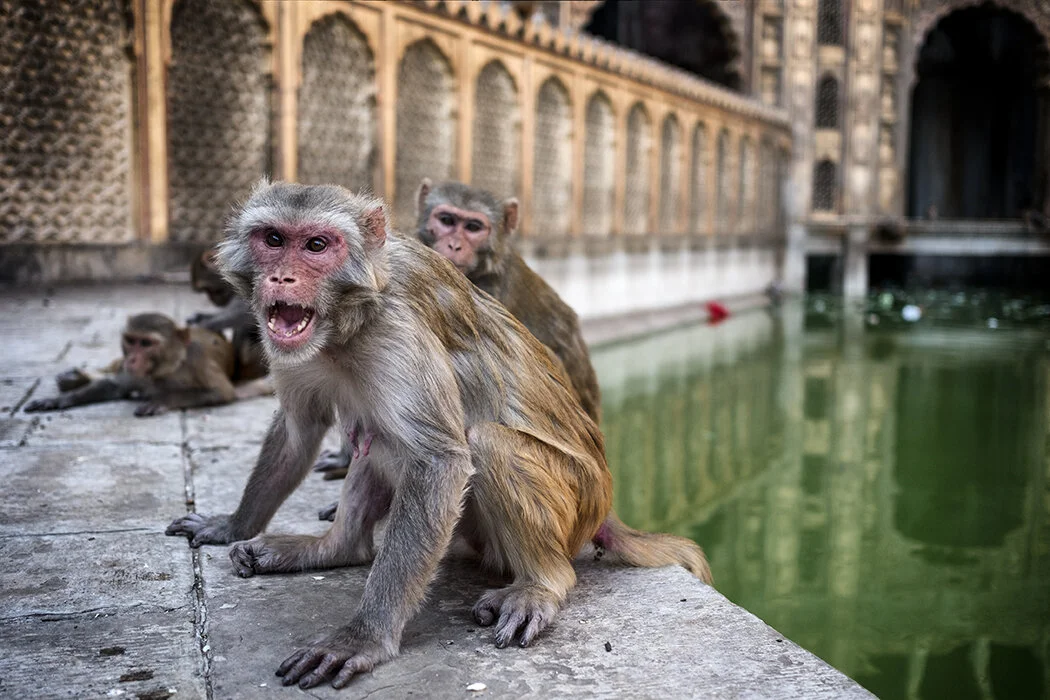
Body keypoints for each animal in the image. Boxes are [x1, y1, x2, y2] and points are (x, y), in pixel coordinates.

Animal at [24, 313, 238, 417]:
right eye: (130, 340)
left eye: (146, 343)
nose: (132, 359)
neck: (167, 368)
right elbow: (114, 386)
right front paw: (58, 400)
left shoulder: (198, 361)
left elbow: (221, 392)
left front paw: (161, 400)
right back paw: (75, 379)